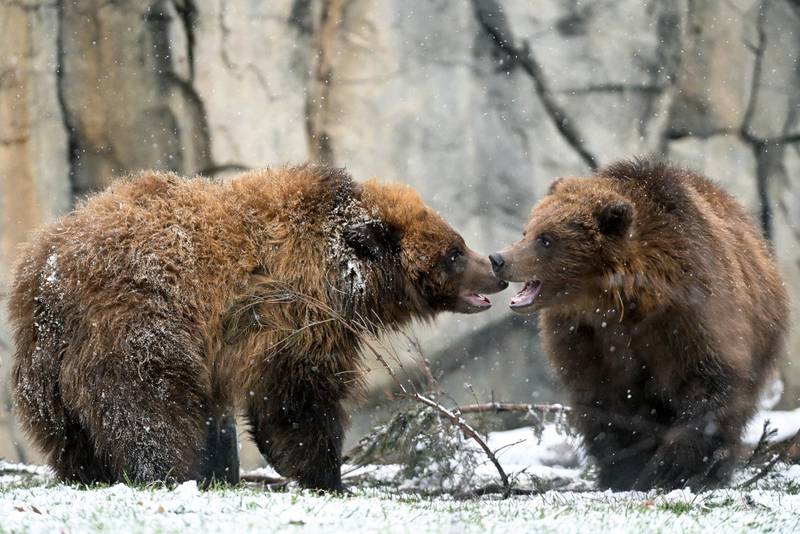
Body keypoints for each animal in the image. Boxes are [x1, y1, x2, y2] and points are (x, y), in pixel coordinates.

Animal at [9, 164, 507, 491]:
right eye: (455, 253)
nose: (496, 268)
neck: (343, 275)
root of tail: (48, 270)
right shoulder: (292, 313)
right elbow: (296, 395)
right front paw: (325, 474)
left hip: (43, 357)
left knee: (66, 428)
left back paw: (89, 473)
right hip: (136, 322)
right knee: (146, 405)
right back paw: (165, 473)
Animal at [489, 158, 789, 491]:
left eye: (546, 239)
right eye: (526, 231)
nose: (498, 258)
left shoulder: (692, 314)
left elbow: (708, 383)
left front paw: (678, 468)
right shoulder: (584, 335)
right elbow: (606, 401)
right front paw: (624, 470)